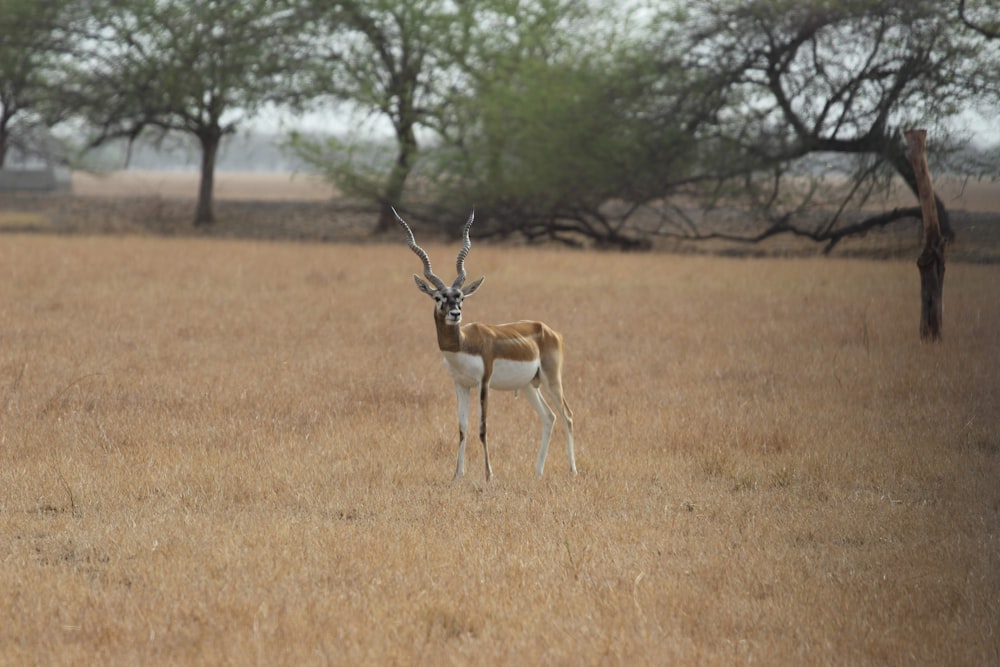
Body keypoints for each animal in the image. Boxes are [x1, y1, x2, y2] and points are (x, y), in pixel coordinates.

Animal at [392, 209, 580, 480]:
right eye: (438, 297)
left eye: (460, 297)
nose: (455, 314)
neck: (463, 344)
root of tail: (550, 331)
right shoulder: (460, 385)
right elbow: (462, 427)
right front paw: (457, 476)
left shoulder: (484, 383)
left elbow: (482, 427)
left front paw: (489, 475)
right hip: (528, 386)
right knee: (549, 417)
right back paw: (537, 472)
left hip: (552, 380)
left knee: (567, 415)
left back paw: (572, 470)